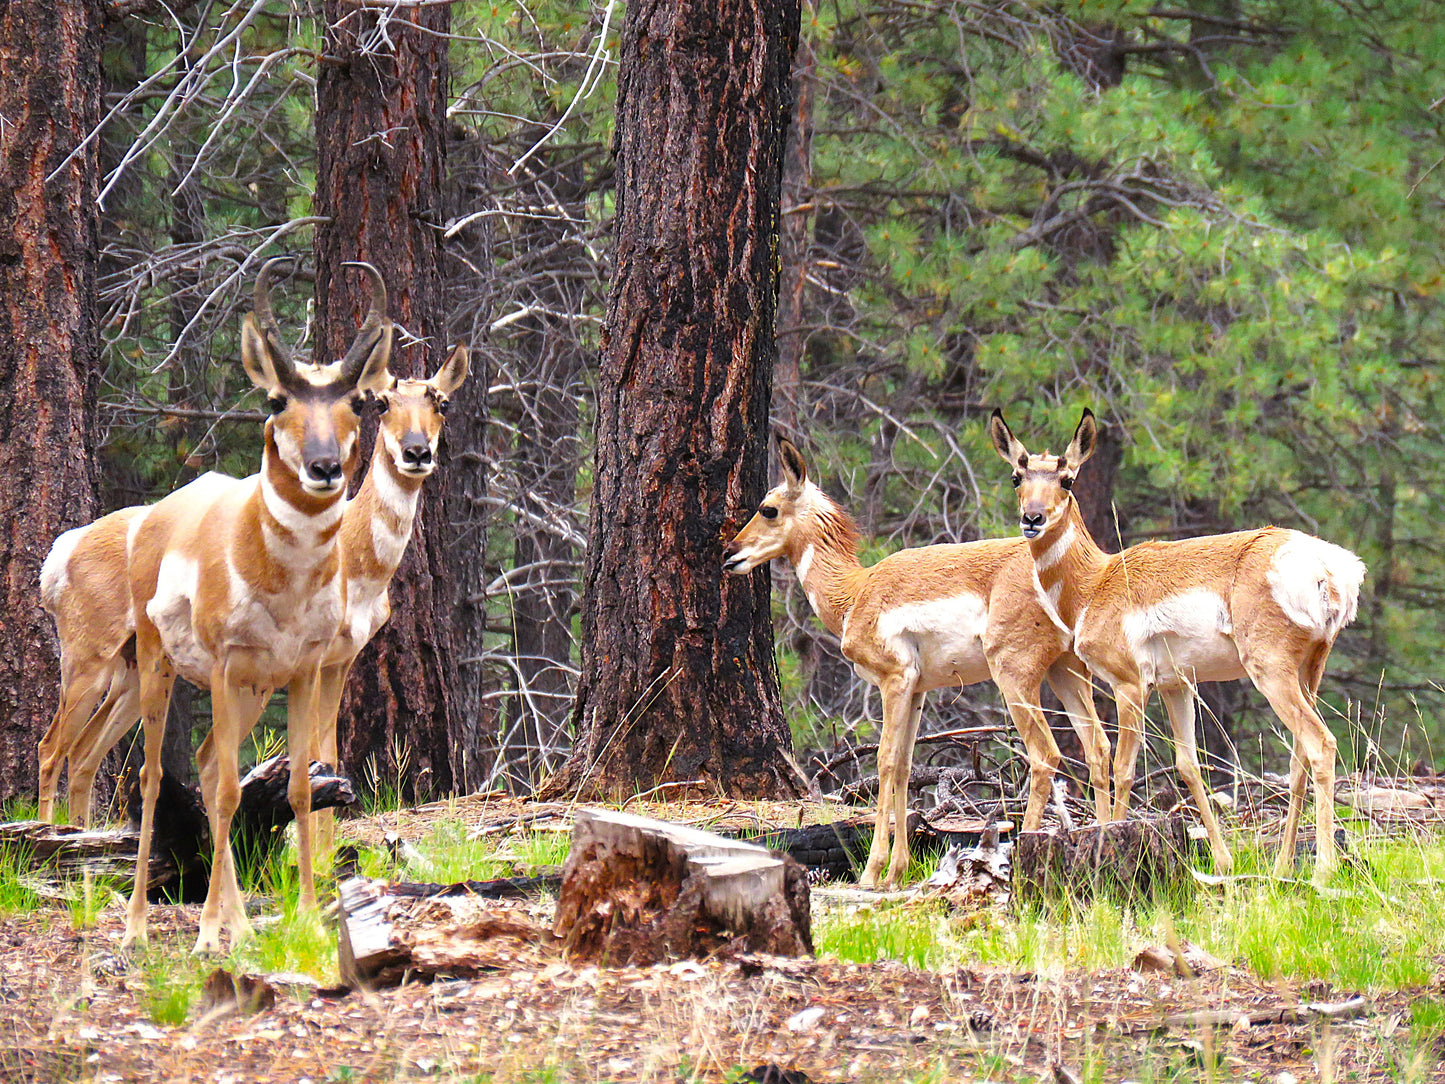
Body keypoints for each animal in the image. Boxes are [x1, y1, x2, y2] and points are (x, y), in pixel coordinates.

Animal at [124, 257, 393, 948]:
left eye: (356, 401)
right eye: (277, 400)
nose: (324, 467)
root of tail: (165, 511)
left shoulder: (302, 672)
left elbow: (299, 788)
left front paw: (305, 917)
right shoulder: (223, 668)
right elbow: (222, 797)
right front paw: (207, 938)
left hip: (252, 692)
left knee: (207, 766)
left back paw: (234, 919)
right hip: (162, 666)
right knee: (157, 777)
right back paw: (139, 930)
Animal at [722, 436, 1103, 884]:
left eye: (768, 508)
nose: (729, 553)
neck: (855, 592)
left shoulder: (895, 680)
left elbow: (885, 761)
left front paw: (872, 872)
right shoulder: (918, 690)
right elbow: (905, 765)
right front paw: (895, 872)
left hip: (1016, 676)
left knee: (1045, 755)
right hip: (1067, 673)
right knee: (1100, 749)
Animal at [988, 407, 1358, 884]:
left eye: (1067, 479)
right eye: (1017, 476)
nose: (1032, 518)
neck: (1097, 581)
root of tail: (1330, 566)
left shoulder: (1129, 685)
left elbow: (1124, 767)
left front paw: (1110, 843)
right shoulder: (1176, 685)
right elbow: (1187, 764)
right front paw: (1223, 861)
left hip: (1272, 672)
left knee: (1321, 744)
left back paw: (1323, 872)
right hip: (1309, 670)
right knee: (1298, 762)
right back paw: (1280, 869)